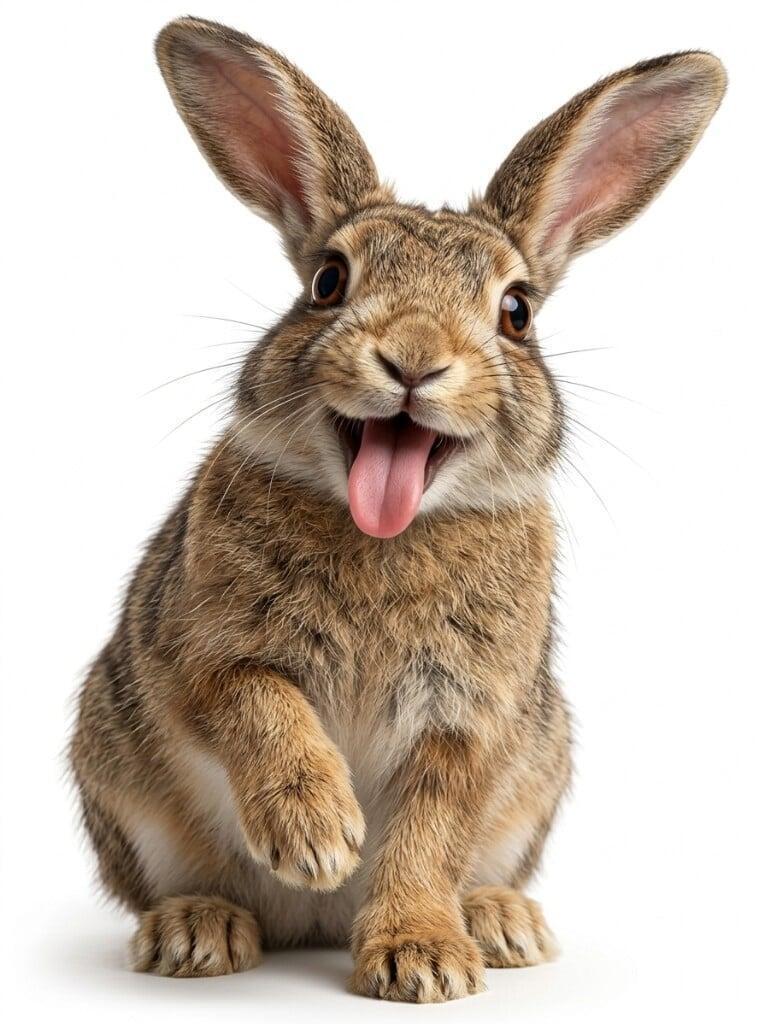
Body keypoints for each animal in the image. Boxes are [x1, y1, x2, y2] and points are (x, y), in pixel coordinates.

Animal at [68, 15, 726, 1002]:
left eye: (517, 312)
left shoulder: (467, 719)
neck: (390, 532)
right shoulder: (205, 652)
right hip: (119, 773)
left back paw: (498, 922)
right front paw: (315, 837)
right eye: (327, 283)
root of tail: (309, 929)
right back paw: (199, 929)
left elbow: (428, 834)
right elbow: (260, 706)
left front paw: (420, 957)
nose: (414, 357)